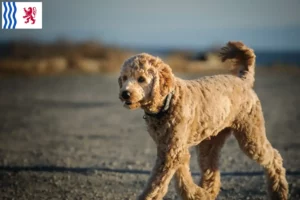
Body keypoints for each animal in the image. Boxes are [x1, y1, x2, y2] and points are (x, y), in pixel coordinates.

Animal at [118, 41, 288, 199]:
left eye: (141, 79)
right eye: (124, 78)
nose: (125, 94)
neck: (168, 100)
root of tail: (243, 80)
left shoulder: (172, 152)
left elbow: (156, 185)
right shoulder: (172, 149)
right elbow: (182, 176)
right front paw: (196, 194)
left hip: (250, 135)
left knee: (274, 158)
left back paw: (279, 192)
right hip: (210, 142)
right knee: (211, 171)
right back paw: (207, 193)